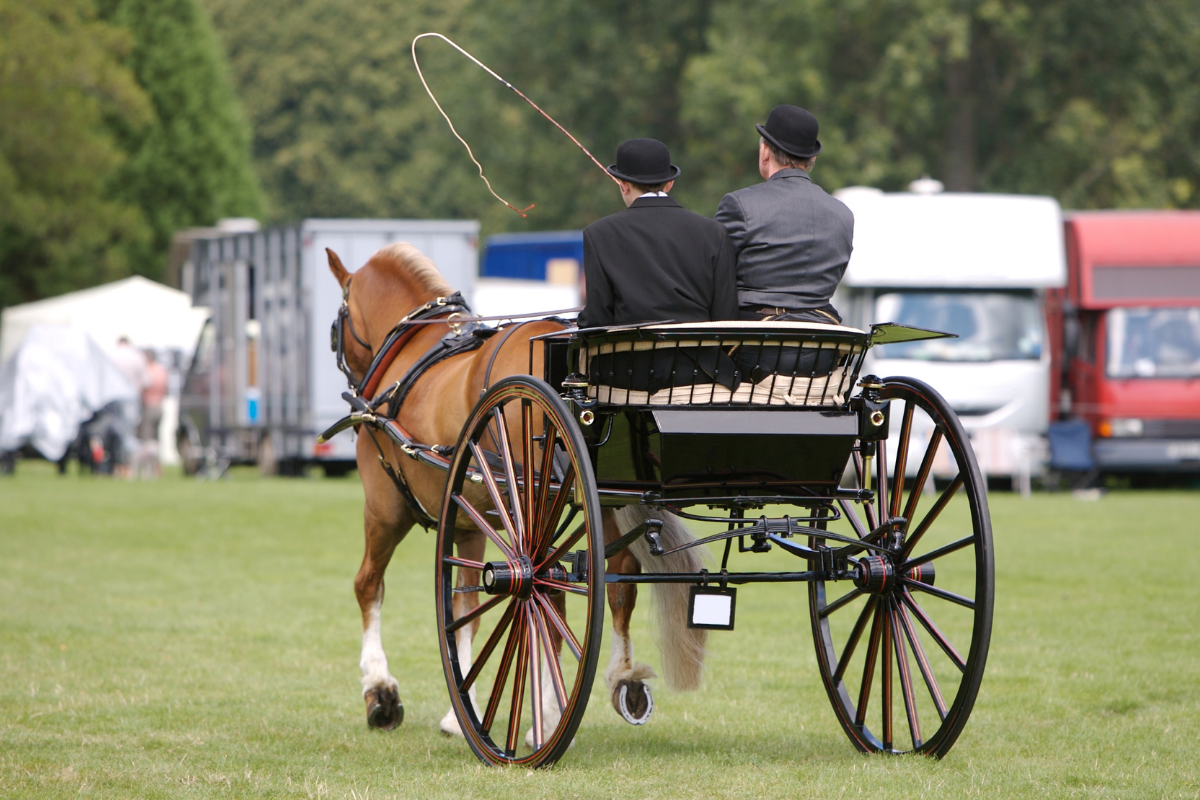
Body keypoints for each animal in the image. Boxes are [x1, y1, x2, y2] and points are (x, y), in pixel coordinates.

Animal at [324, 241, 705, 743]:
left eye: (337, 324)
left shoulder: (386, 507)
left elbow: (371, 586)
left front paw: (382, 690)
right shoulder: (468, 520)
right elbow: (464, 603)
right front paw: (458, 707)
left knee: (551, 592)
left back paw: (548, 715)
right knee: (615, 578)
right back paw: (622, 679)